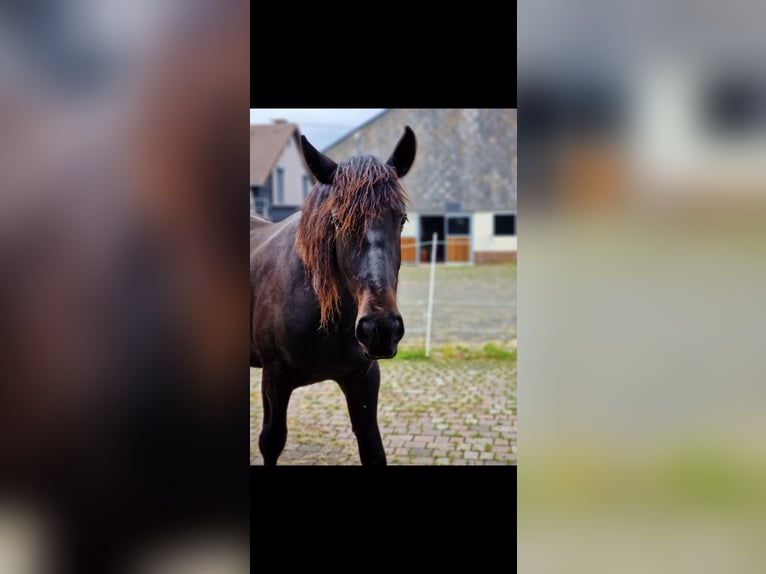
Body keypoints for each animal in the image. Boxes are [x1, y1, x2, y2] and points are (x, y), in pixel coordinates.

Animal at [250, 127, 420, 468]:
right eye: (338, 220)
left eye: (402, 219)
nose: (380, 329)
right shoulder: (274, 378)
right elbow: (271, 442)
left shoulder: (363, 378)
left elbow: (372, 448)